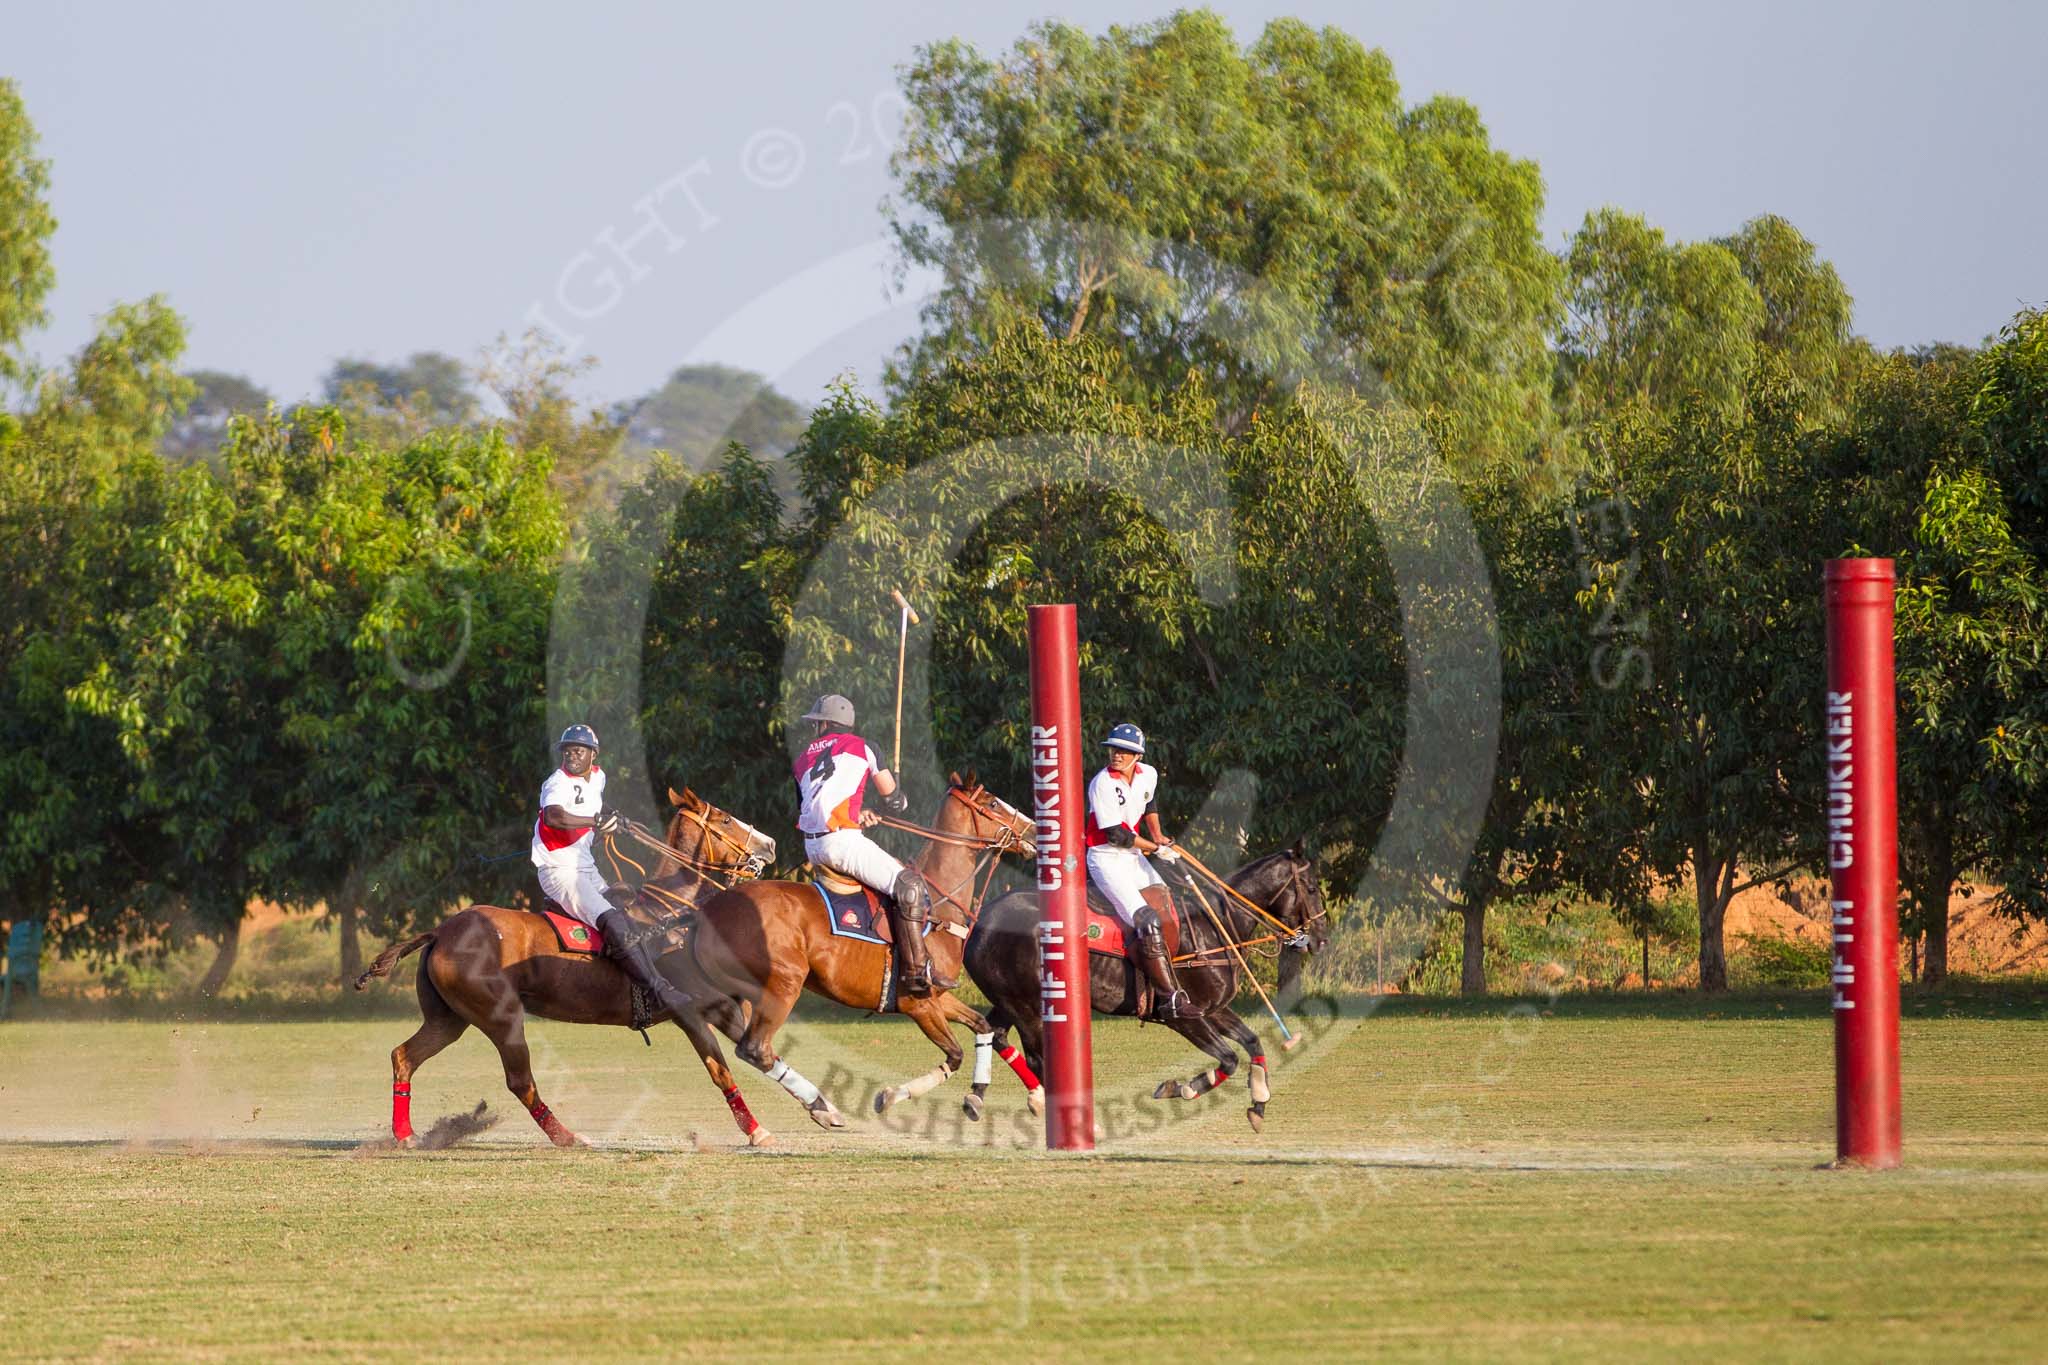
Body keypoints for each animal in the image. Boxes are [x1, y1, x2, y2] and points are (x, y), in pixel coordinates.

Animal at [352, 789, 806, 1154]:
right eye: (725, 819)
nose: (770, 844)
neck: (673, 916)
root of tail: (440, 931)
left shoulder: (717, 1008)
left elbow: (747, 1058)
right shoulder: (696, 1010)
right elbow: (728, 1068)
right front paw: (763, 1130)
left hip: (449, 1018)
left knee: (404, 1056)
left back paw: (406, 1136)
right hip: (499, 1016)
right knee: (520, 1081)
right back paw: (568, 1137)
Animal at [667, 773, 1032, 1129]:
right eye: (993, 803)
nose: (1031, 830)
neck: (938, 908)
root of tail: (705, 913)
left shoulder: (938, 996)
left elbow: (981, 1028)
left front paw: (979, 1097)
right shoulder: (919, 1003)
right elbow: (954, 1054)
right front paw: (889, 1096)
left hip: (732, 995)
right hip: (783, 984)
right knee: (756, 1049)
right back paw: (823, 1108)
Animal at [958, 839, 1327, 1137]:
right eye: (1310, 887)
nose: (1321, 940)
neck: (1215, 926)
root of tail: (979, 921)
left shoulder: (1214, 1008)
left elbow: (1252, 1043)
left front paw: (1258, 1106)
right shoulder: (1181, 1016)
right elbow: (1229, 1058)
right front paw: (1180, 1088)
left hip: (1009, 997)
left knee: (993, 1031)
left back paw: (981, 1097)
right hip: (1029, 1004)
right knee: (1036, 1056)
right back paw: (1079, 1121)